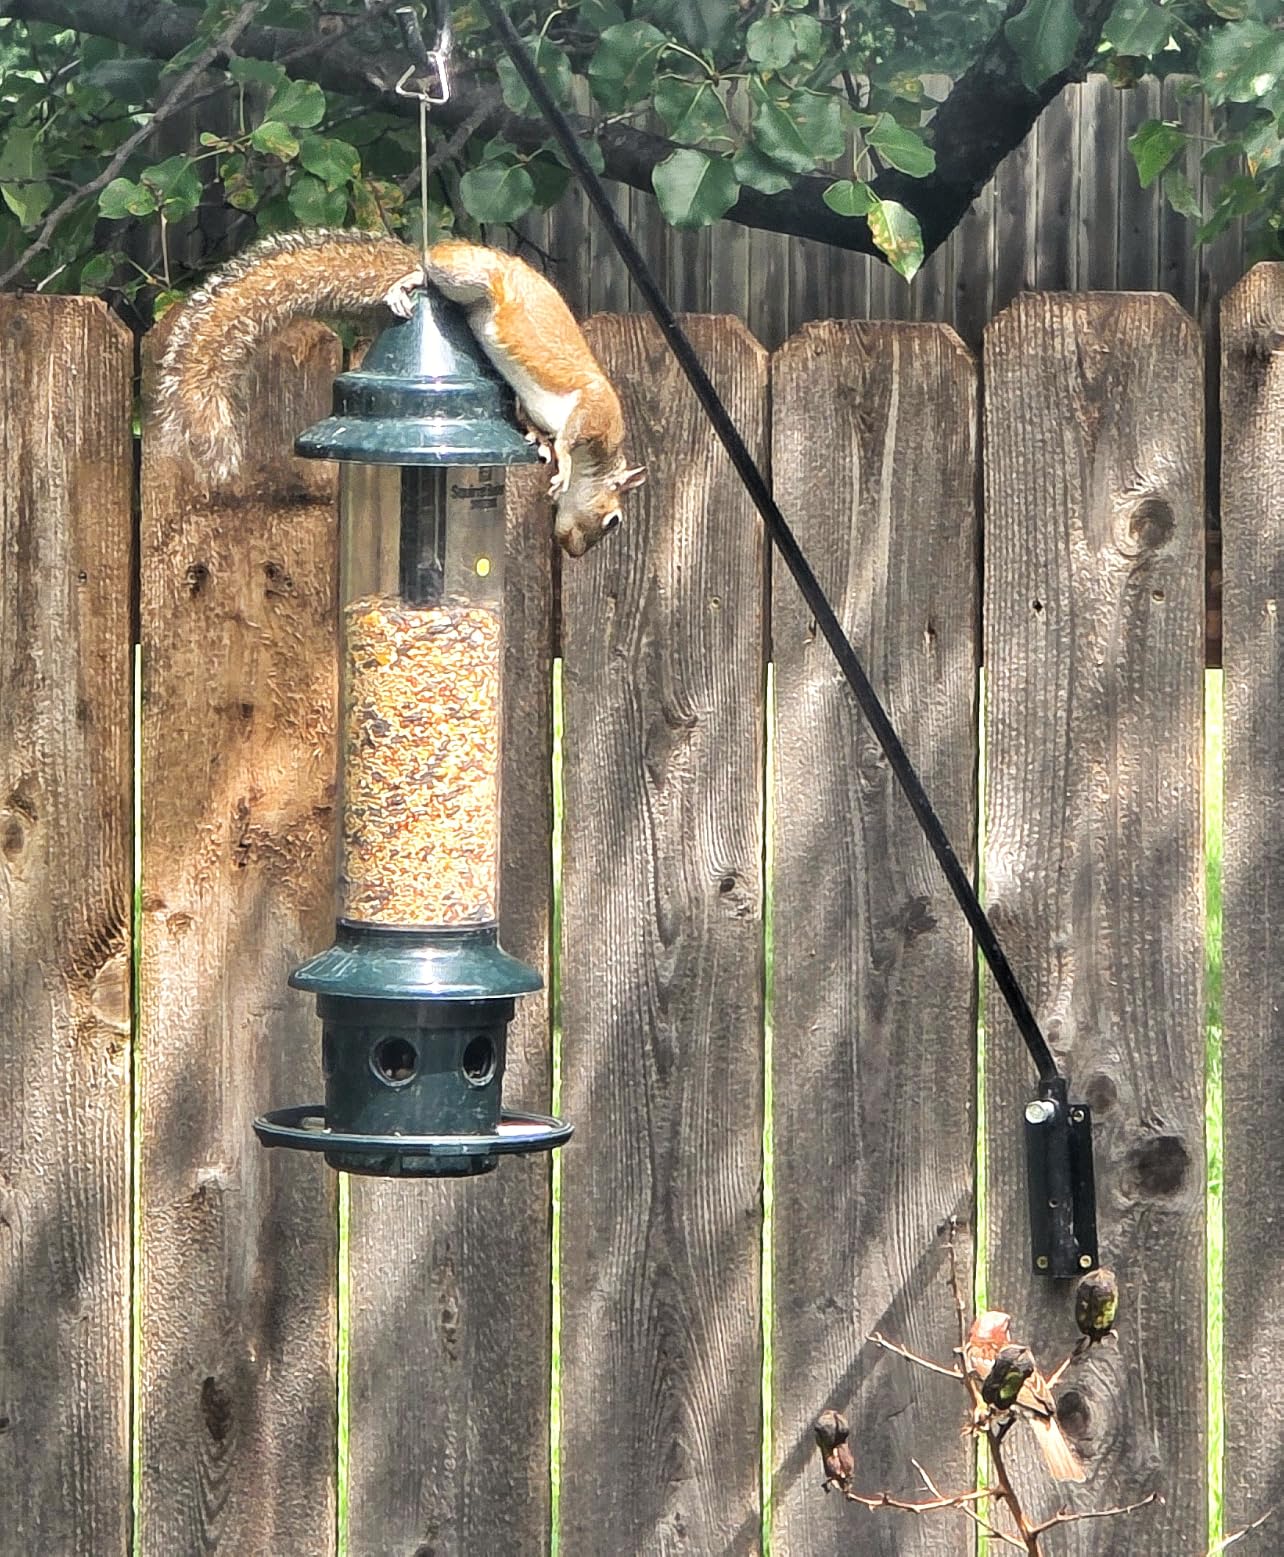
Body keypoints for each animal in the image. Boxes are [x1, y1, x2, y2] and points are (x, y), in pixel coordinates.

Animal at [156, 228, 646, 557]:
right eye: (614, 520)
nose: (573, 551)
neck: (602, 455)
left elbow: (534, 419)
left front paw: (539, 442)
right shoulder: (594, 410)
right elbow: (570, 436)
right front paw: (561, 461)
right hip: (471, 277)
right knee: (427, 268)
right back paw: (406, 280)